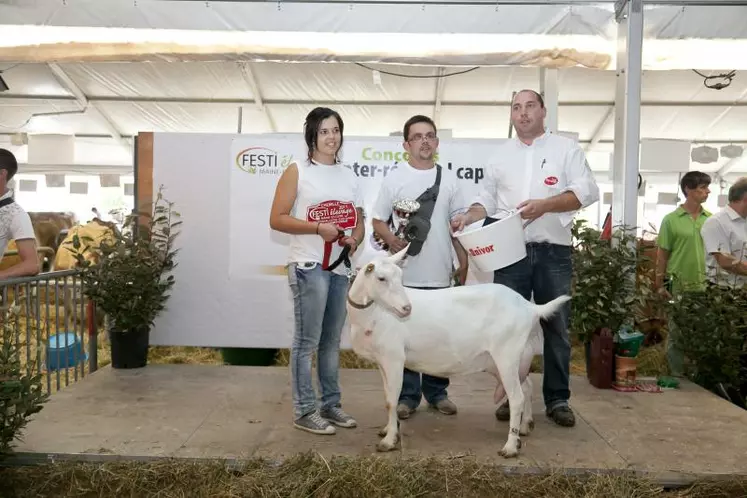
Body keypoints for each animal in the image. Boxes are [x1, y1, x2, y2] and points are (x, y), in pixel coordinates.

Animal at [346, 246, 572, 460]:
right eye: (381, 278)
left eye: (401, 277)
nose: (406, 308)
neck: (373, 315)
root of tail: (530, 308)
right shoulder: (382, 361)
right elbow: (387, 397)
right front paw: (387, 430)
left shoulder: (394, 358)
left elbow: (391, 401)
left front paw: (389, 441)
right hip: (512, 358)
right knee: (527, 387)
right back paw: (525, 427)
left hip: (506, 355)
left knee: (516, 397)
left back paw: (510, 447)